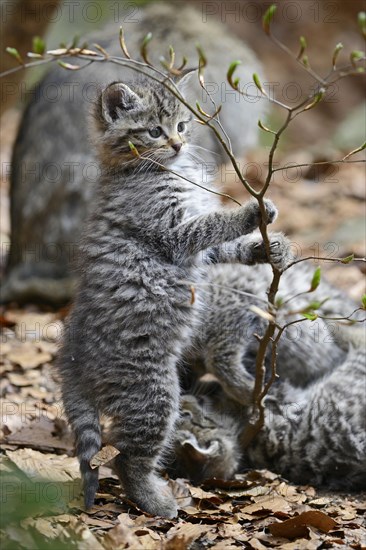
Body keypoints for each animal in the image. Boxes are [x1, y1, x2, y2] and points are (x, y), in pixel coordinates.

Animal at [57, 75, 278, 520]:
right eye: (154, 132)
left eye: (180, 126)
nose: (177, 145)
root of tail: (71, 356)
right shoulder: (173, 233)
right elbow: (211, 225)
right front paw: (250, 213)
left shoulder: (198, 249)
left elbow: (221, 247)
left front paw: (264, 249)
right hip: (154, 396)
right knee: (126, 459)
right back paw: (157, 501)